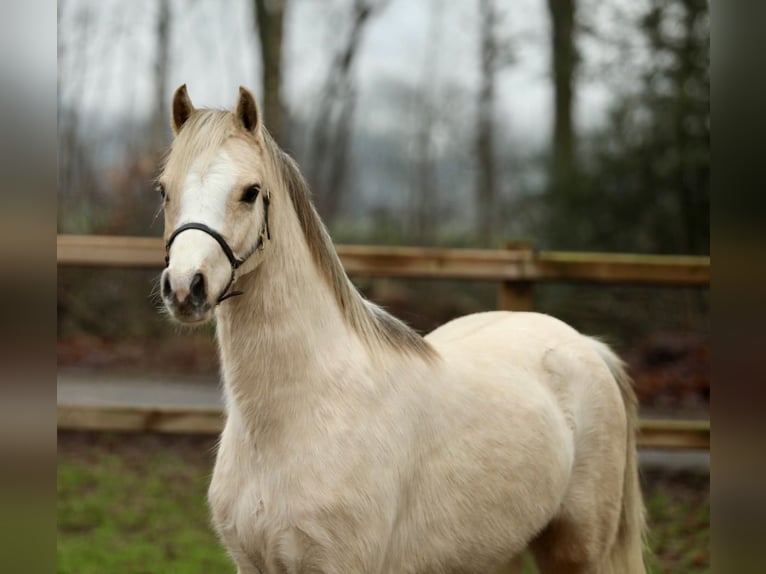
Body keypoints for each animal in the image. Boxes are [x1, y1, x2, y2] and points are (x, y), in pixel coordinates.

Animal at [159, 86, 644, 574]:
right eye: (164, 189)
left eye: (251, 192)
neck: (294, 418)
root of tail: (585, 345)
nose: (185, 288)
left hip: (578, 551)